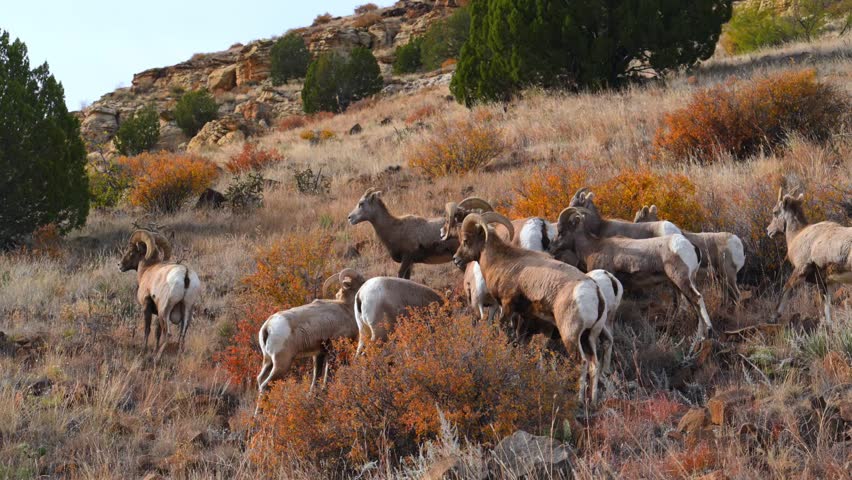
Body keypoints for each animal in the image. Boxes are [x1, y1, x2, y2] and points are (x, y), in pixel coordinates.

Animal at [453, 213, 610, 403]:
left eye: (466, 240)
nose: (456, 259)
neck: (504, 262)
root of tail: (595, 292)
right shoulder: (525, 317)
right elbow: (520, 342)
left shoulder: (507, 307)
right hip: (590, 337)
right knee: (595, 365)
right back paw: (593, 402)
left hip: (571, 337)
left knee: (582, 363)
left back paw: (579, 400)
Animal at [550, 207, 714, 339]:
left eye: (561, 231)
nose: (551, 248)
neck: (592, 248)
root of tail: (691, 246)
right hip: (684, 282)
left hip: (681, 279)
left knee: (697, 299)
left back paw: (706, 333)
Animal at [767, 188, 852, 325]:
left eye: (775, 212)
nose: (768, 231)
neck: (797, 235)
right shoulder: (827, 282)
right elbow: (827, 306)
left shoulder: (801, 269)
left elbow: (786, 288)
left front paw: (773, 316)